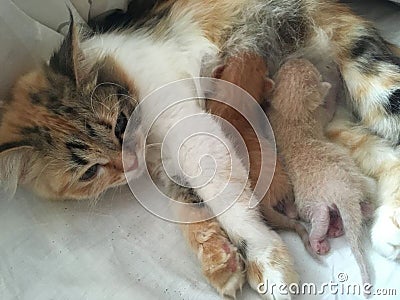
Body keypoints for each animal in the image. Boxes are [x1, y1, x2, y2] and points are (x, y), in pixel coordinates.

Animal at [268, 58, 376, 286]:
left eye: (285, 66)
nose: (295, 57)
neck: (291, 112)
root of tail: (344, 194)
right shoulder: (318, 116)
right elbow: (329, 108)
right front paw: (334, 82)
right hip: (316, 202)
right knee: (324, 218)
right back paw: (320, 239)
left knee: (361, 212)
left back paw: (336, 227)